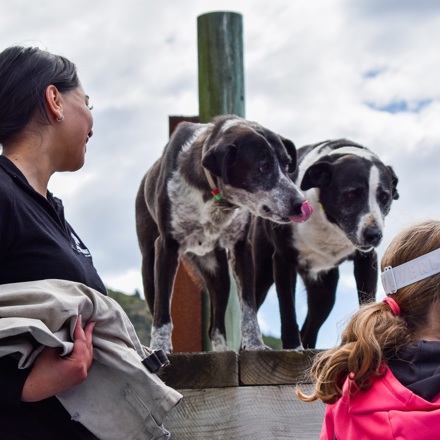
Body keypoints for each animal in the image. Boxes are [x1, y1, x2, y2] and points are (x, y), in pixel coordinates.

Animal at [135, 115, 312, 352]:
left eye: (286, 164)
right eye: (263, 167)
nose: (301, 204)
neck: (215, 199)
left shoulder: (241, 247)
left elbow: (248, 307)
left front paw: (255, 345)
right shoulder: (166, 246)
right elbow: (162, 311)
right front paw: (160, 349)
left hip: (218, 273)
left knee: (215, 326)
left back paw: (223, 351)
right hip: (149, 266)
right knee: (156, 302)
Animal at [251, 139, 398, 348]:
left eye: (384, 197)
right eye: (352, 194)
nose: (374, 235)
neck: (329, 222)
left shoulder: (367, 258)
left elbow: (366, 298)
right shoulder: (283, 259)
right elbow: (287, 308)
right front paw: (293, 345)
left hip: (325, 292)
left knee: (311, 327)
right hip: (262, 272)